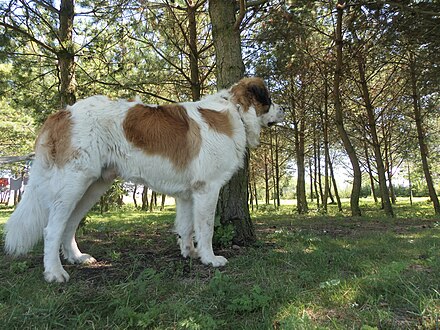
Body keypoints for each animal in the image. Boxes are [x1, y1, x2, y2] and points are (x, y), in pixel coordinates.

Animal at [5, 76, 286, 282]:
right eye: (269, 100)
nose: (283, 109)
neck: (235, 112)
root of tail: (61, 114)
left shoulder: (188, 194)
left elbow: (186, 227)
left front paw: (190, 253)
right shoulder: (207, 189)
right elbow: (205, 228)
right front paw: (210, 258)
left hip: (91, 187)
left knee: (69, 224)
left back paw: (77, 257)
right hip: (73, 184)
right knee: (52, 228)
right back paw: (55, 272)